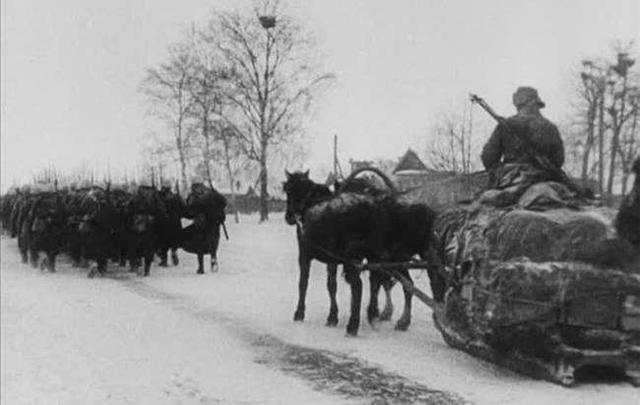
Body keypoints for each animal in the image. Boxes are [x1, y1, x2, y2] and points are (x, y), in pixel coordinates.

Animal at [284, 167, 440, 334]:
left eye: (289, 190)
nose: (289, 217)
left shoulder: (308, 254)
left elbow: (307, 283)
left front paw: (303, 313)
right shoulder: (337, 259)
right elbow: (333, 284)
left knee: (363, 284)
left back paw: (356, 323)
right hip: (407, 256)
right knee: (411, 282)